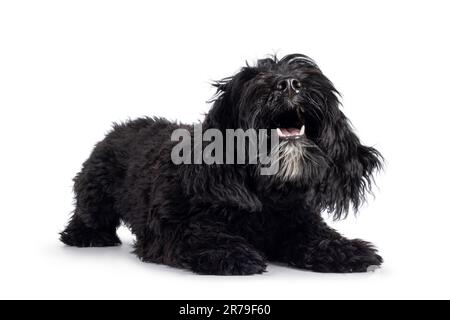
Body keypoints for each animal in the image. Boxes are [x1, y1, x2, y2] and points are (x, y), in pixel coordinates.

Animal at [60, 53, 384, 274]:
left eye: (304, 73)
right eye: (252, 77)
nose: (289, 83)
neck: (267, 197)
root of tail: (121, 126)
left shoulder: (299, 220)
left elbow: (317, 237)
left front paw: (345, 249)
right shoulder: (170, 227)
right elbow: (198, 236)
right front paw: (229, 252)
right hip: (95, 189)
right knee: (87, 215)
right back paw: (86, 235)